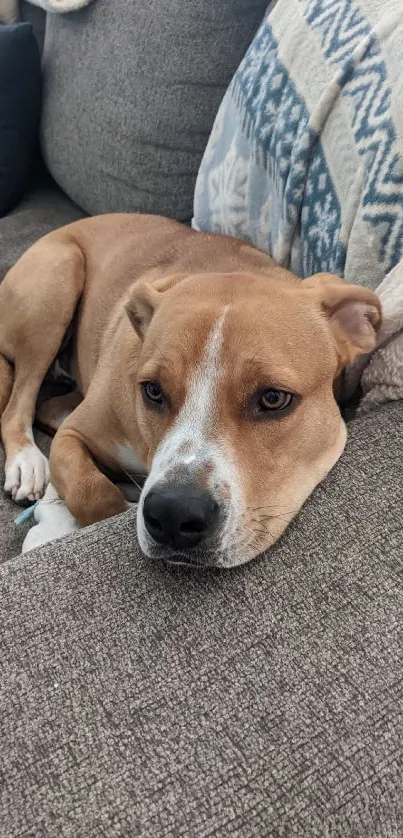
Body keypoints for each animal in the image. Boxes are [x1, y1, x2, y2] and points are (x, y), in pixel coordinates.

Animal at [0, 217, 382, 568]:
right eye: (153, 391)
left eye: (273, 398)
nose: (172, 513)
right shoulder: (74, 434)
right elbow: (90, 491)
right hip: (57, 282)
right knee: (19, 402)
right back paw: (27, 462)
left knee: (47, 405)